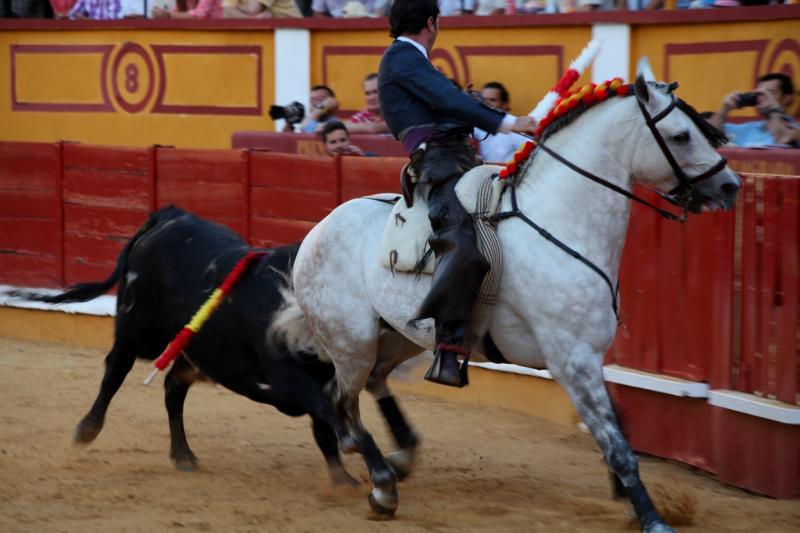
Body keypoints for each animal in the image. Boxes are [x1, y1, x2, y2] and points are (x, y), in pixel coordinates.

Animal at [22, 207, 362, 482]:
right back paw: (87, 429)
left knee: (173, 388)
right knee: (115, 370)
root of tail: (171, 215)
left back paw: (183, 455)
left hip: (193, 348)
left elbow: (324, 427)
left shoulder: (321, 381)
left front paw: (343, 478)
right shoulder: (292, 380)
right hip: (137, 330)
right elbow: (325, 418)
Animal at [276, 63, 736, 532]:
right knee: (343, 403)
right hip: (352, 340)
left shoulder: (589, 355)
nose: (729, 186)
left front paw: (629, 501)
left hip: (400, 334)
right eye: (681, 135)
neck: (559, 220)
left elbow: (618, 427)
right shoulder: (571, 357)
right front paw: (653, 519)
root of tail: (317, 230)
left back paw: (400, 454)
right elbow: (617, 443)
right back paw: (383, 485)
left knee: (367, 384)